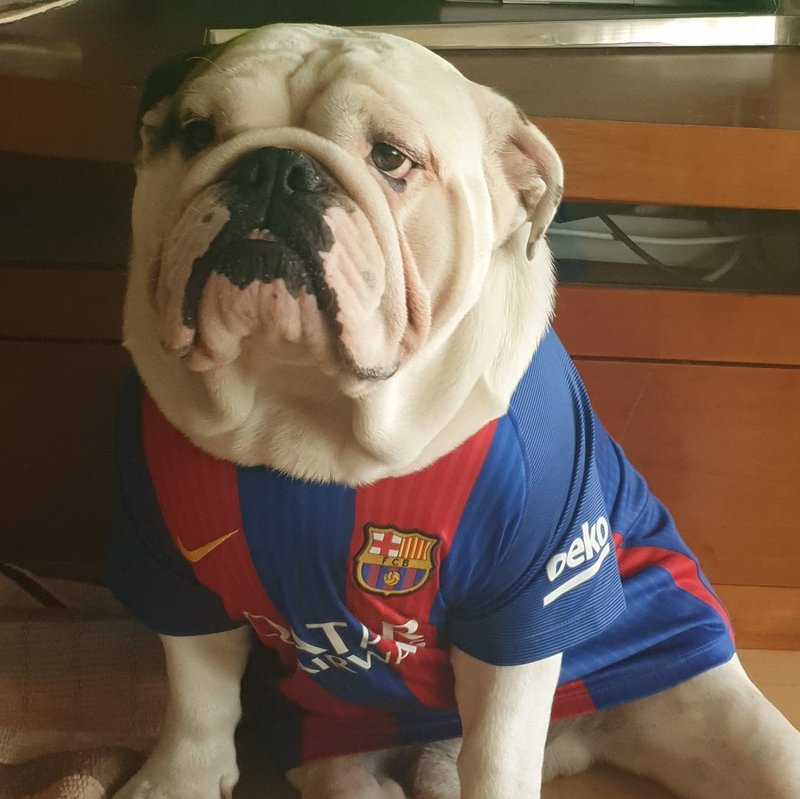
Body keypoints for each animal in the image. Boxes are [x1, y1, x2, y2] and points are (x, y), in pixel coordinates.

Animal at [108, 23, 800, 799]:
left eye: (390, 157)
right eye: (195, 133)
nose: (274, 168)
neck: (308, 407)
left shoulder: (527, 602)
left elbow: (497, 750)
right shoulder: (165, 565)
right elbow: (195, 694)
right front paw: (175, 778)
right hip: (325, 739)